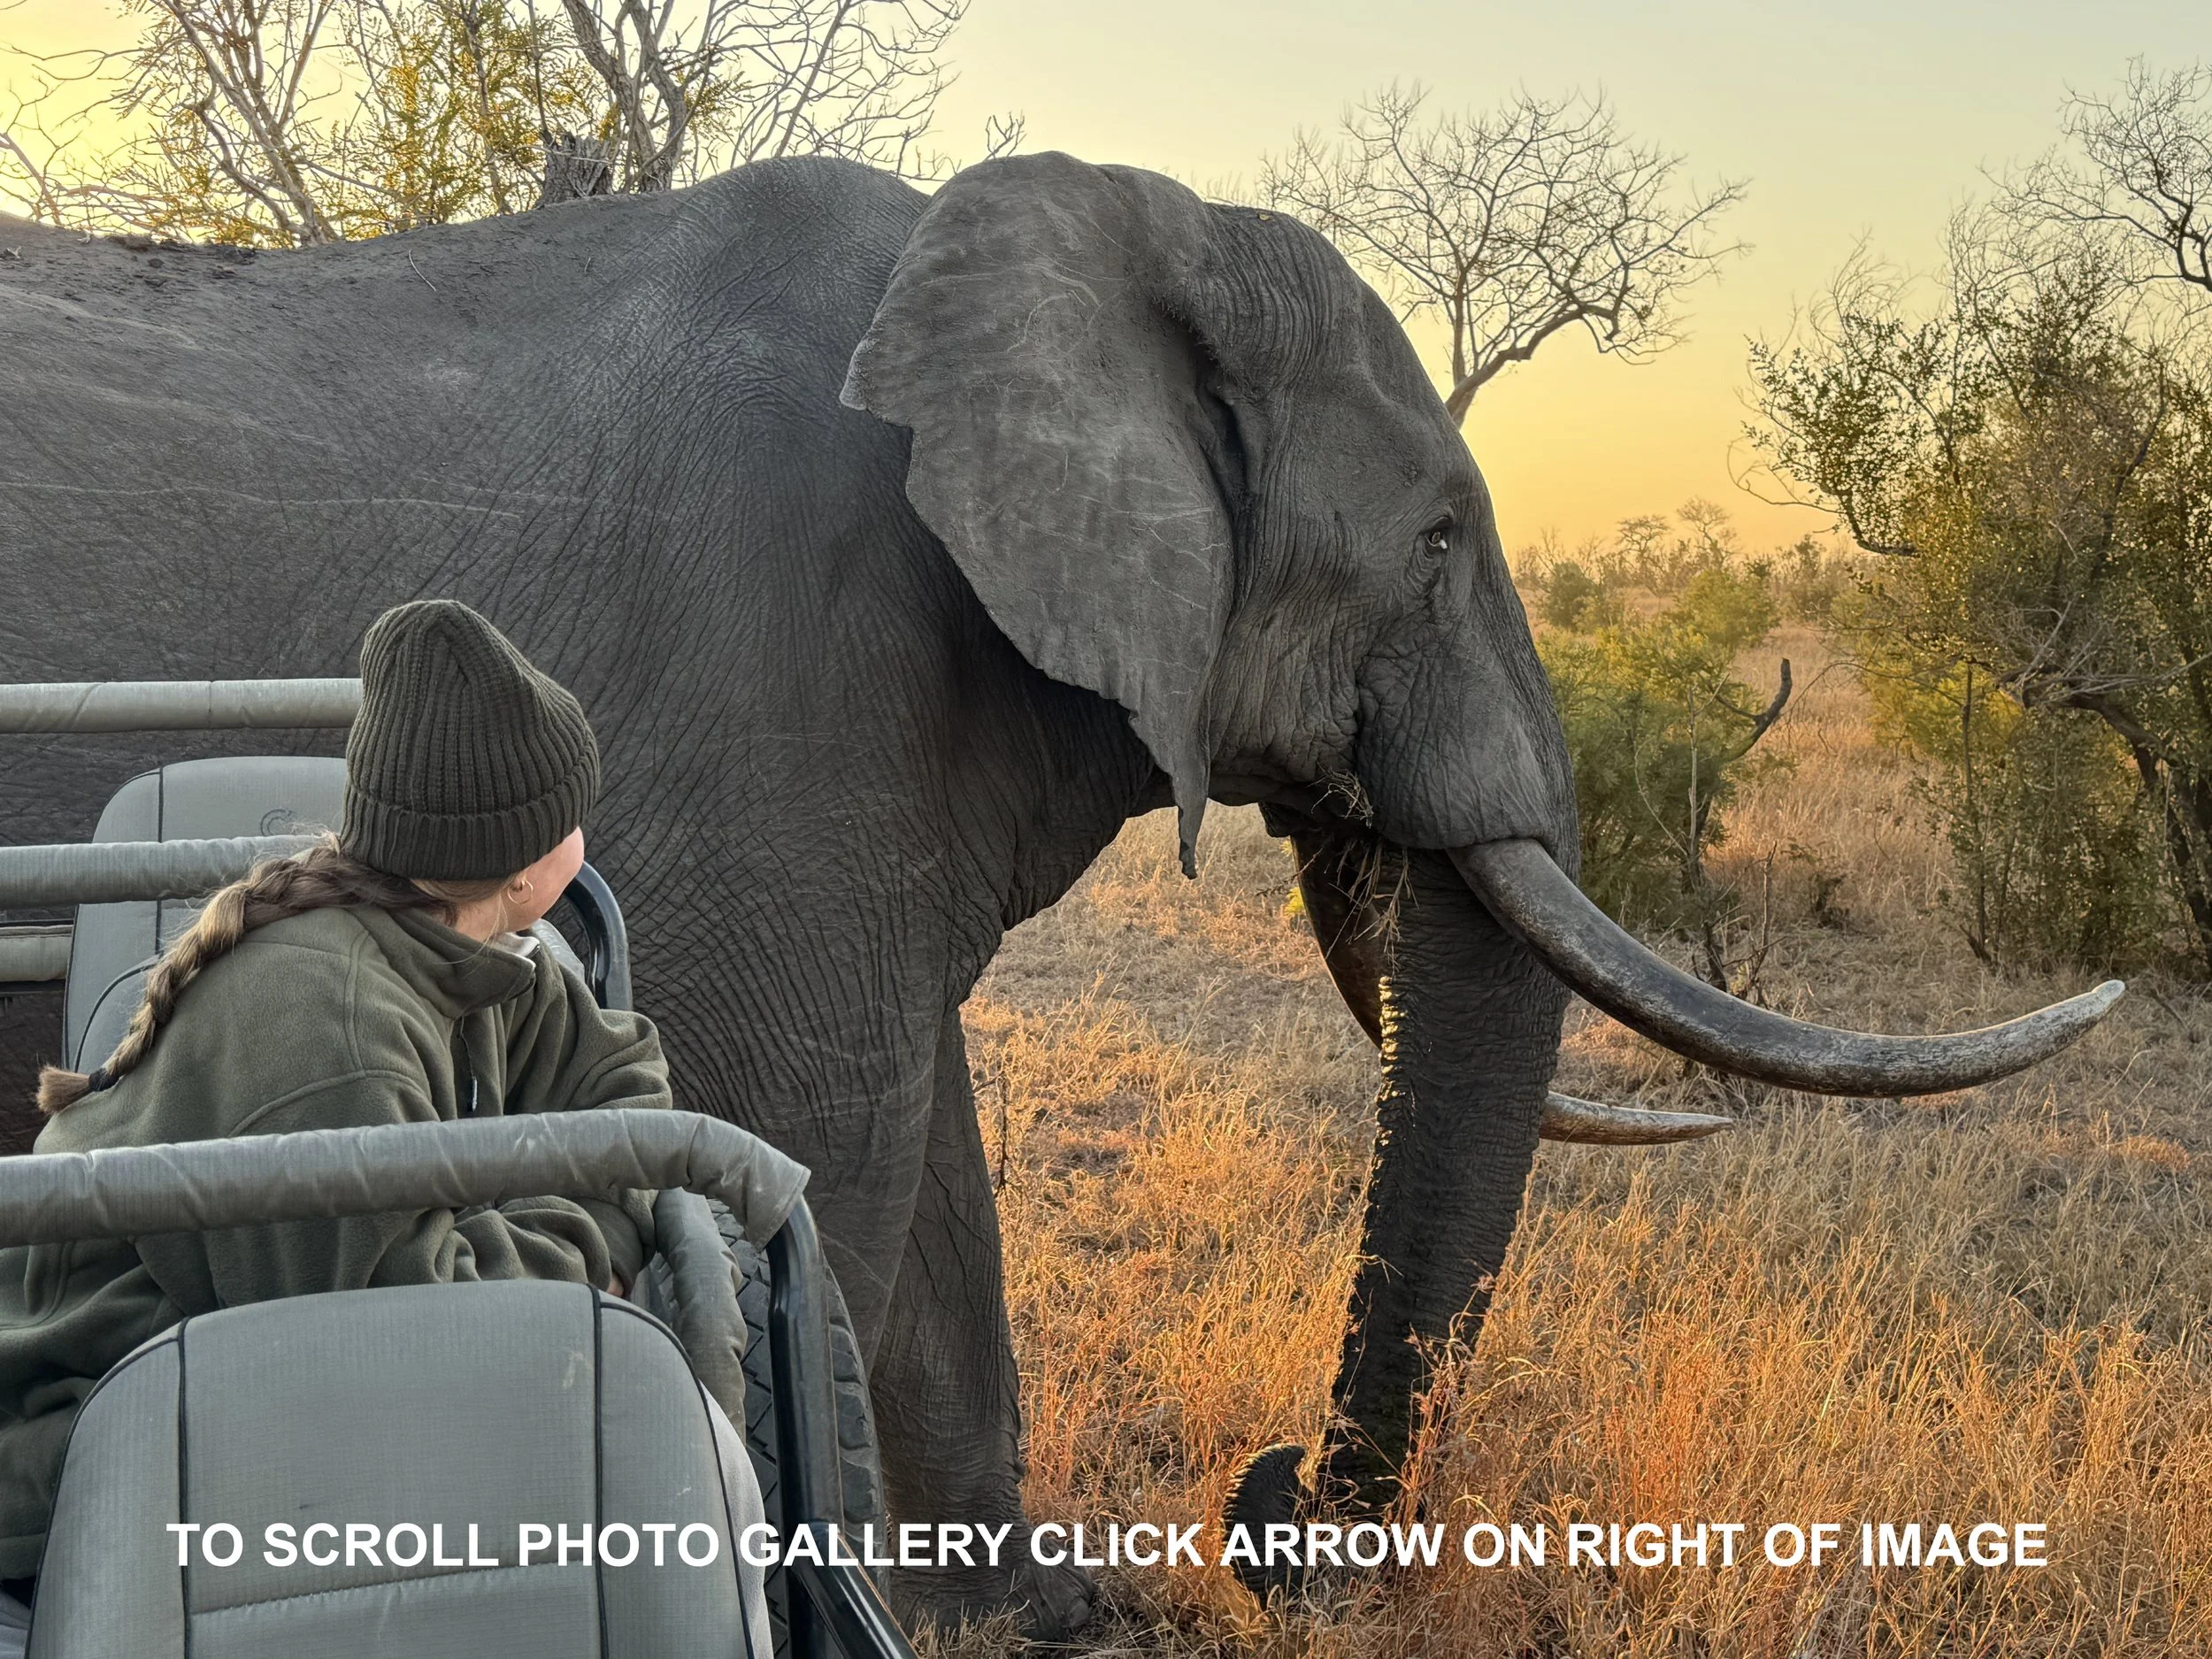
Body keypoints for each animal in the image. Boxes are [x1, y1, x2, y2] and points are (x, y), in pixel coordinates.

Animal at [0, 153, 2117, 1637]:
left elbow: (931, 1172)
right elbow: (827, 1155)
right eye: (1438, 540)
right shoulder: (791, 679)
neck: (1102, 236)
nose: (1268, 1503)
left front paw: (1048, 1611)